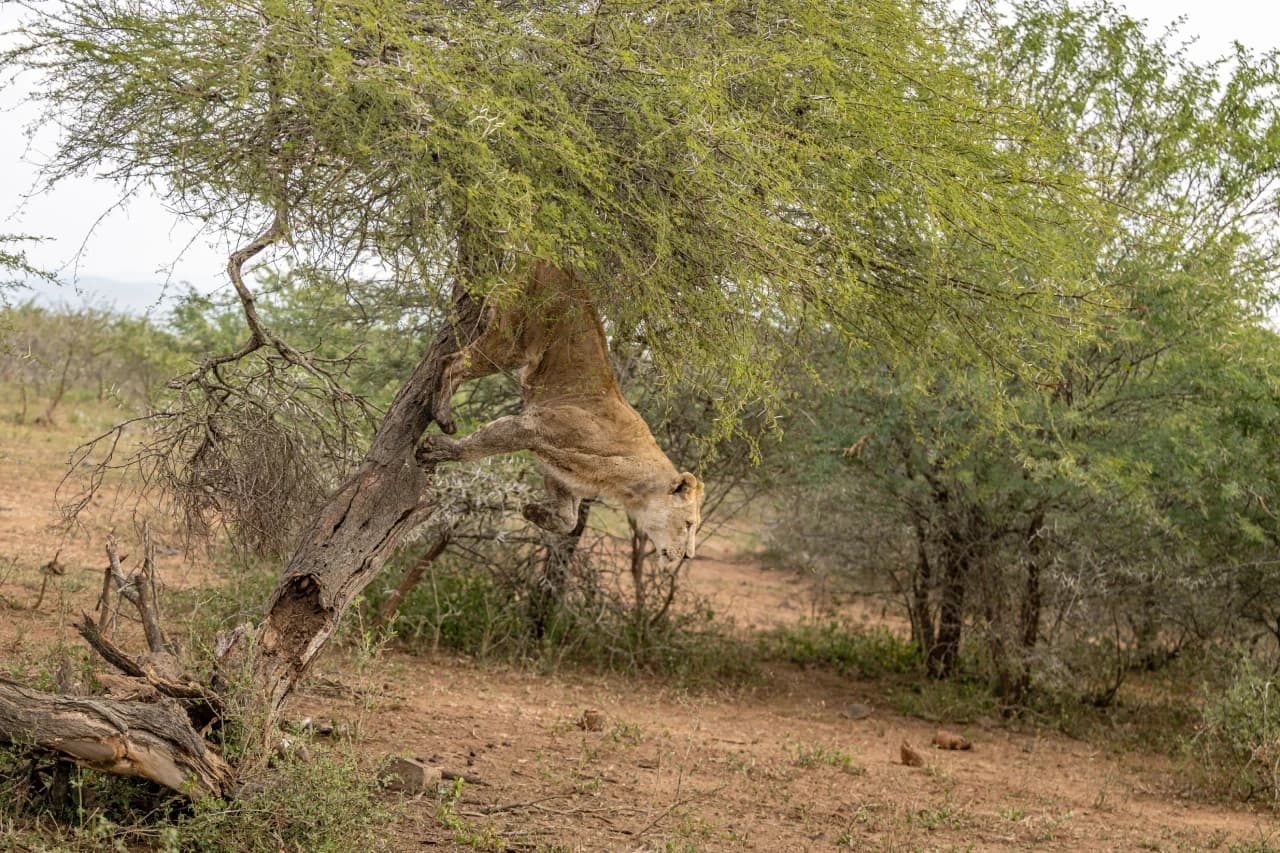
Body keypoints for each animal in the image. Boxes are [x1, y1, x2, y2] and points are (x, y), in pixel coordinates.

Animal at [417, 262, 702, 571]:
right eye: (688, 524)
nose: (689, 556)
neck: (628, 483)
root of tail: (554, 262)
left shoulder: (564, 472)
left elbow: (568, 519)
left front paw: (532, 512)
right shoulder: (535, 425)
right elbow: (480, 445)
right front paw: (436, 450)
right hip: (513, 342)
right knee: (451, 361)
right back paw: (443, 414)